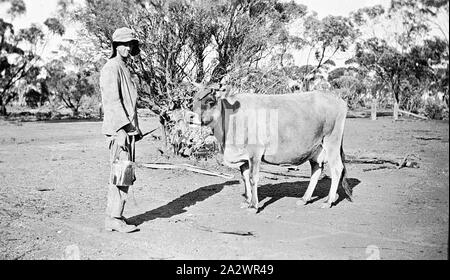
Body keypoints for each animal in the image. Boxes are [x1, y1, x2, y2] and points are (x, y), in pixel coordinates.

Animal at [192, 83, 354, 212]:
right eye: (192, 101)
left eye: (210, 101)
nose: (191, 116)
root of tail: (337, 98)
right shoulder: (243, 156)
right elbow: (245, 177)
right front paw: (247, 201)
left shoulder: (255, 152)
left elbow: (253, 178)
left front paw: (253, 206)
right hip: (316, 147)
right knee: (317, 169)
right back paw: (305, 199)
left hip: (331, 141)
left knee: (337, 169)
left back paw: (328, 201)